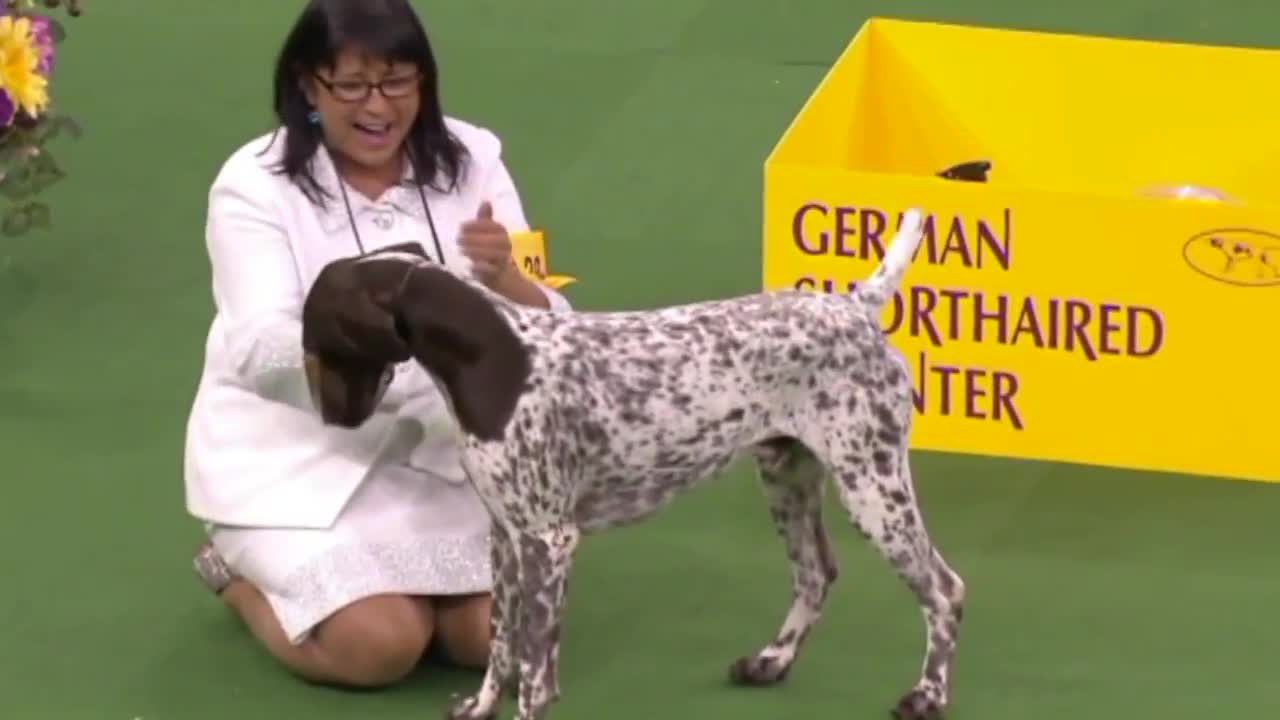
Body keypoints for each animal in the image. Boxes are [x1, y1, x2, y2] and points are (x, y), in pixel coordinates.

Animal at [299, 208, 962, 717]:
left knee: (945, 591)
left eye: (316, 338)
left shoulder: (548, 542)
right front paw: (480, 707)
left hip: (873, 488)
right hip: (787, 480)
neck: (494, 358)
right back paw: (771, 662)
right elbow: (501, 645)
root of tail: (857, 308)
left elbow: (533, 672)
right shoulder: (506, 537)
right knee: (816, 574)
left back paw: (927, 695)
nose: (331, 415)